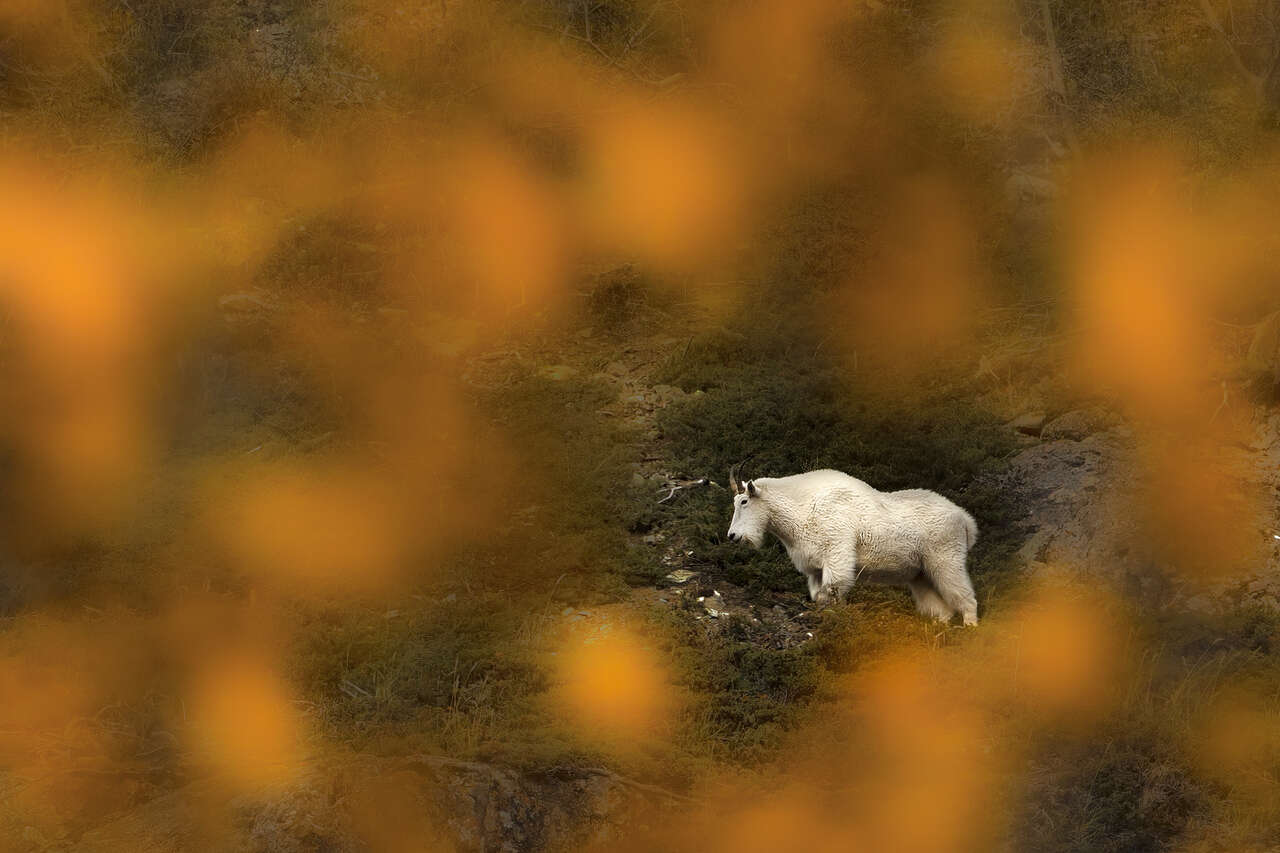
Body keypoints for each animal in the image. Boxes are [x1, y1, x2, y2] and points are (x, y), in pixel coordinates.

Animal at [727, 458, 983, 625]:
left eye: (744, 502)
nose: (733, 536)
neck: (803, 507)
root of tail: (965, 520)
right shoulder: (815, 569)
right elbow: (819, 597)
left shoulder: (836, 554)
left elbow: (832, 592)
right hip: (921, 573)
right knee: (942, 609)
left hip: (946, 558)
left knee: (966, 598)